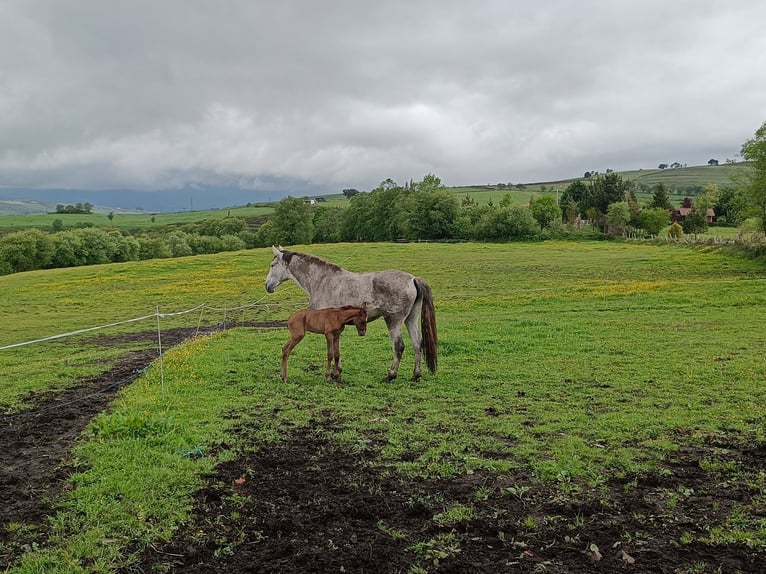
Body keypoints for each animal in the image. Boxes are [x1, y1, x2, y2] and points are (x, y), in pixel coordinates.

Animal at [265, 246, 437, 382]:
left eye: (272, 265)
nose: (267, 286)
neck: (322, 281)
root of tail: (413, 279)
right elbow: (336, 350)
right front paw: (337, 373)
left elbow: (333, 351)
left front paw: (334, 374)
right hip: (410, 319)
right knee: (417, 344)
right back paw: (415, 375)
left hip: (393, 321)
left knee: (399, 346)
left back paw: (390, 375)